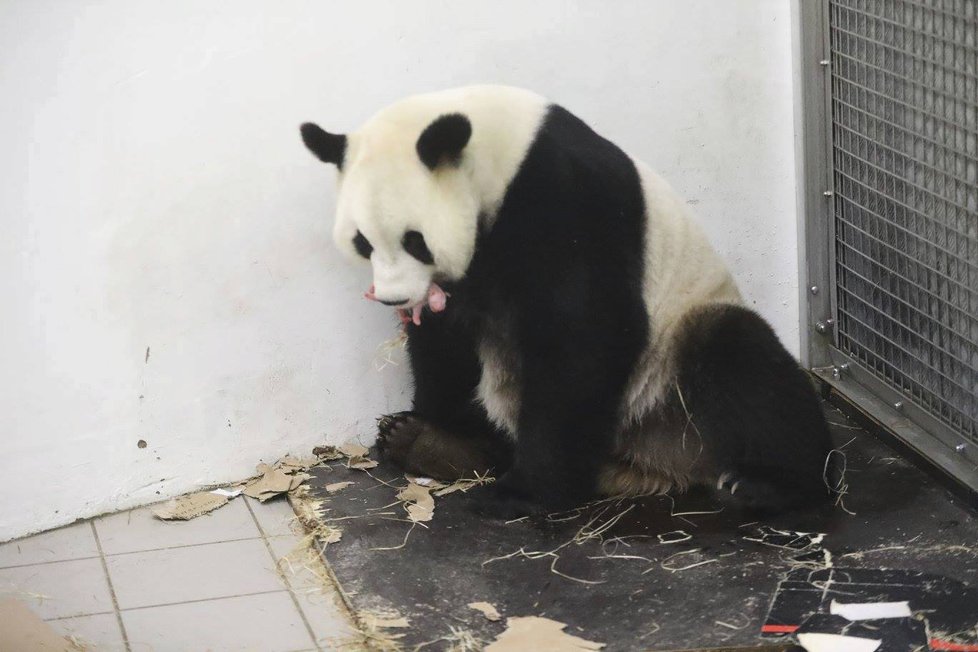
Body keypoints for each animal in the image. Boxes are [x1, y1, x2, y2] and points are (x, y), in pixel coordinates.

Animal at [302, 86, 836, 516]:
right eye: (362, 242)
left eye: (415, 240)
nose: (394, 298)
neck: (498, 156)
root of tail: (653, 461)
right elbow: (446, 344)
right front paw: (435, 423)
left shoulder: (568, 198)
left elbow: (583, 339)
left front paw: (522, 493)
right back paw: (426, 443)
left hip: (669, 363)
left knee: (741, 359)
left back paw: (768, 484)